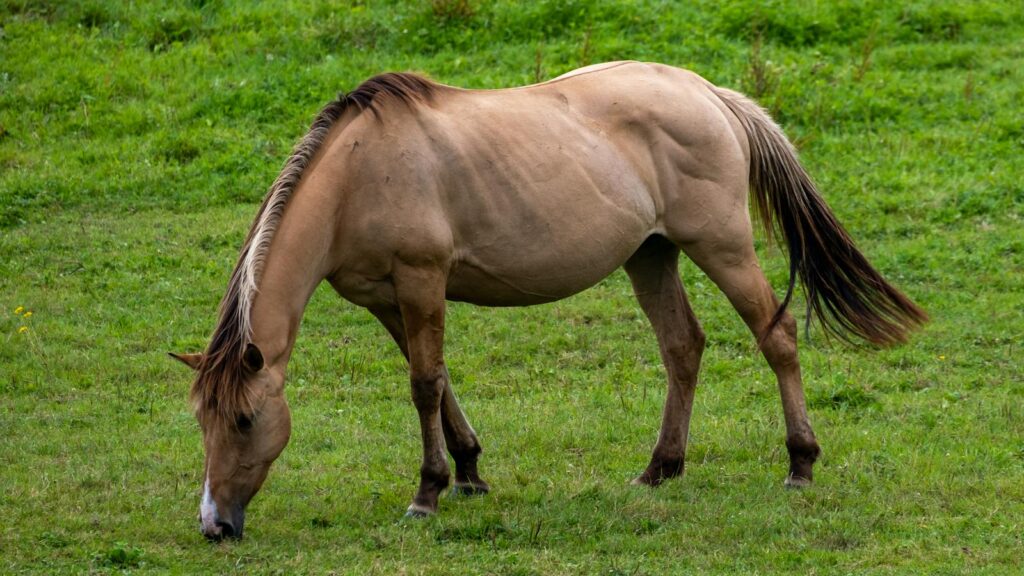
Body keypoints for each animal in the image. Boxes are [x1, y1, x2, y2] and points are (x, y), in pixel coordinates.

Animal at [170, 61, 926, 540]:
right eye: (201, 419)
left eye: (244, 420)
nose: (216, 526)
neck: (356, 175)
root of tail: (710, 93)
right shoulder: (389, 300)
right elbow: (437, 381)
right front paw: (470, 473)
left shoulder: (421, 281)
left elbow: (423, 385)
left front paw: (428, 493)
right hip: (650, 256)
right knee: (683, 347)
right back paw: (660, 469)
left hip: (723, 246)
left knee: (777, 336)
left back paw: (800, 463)